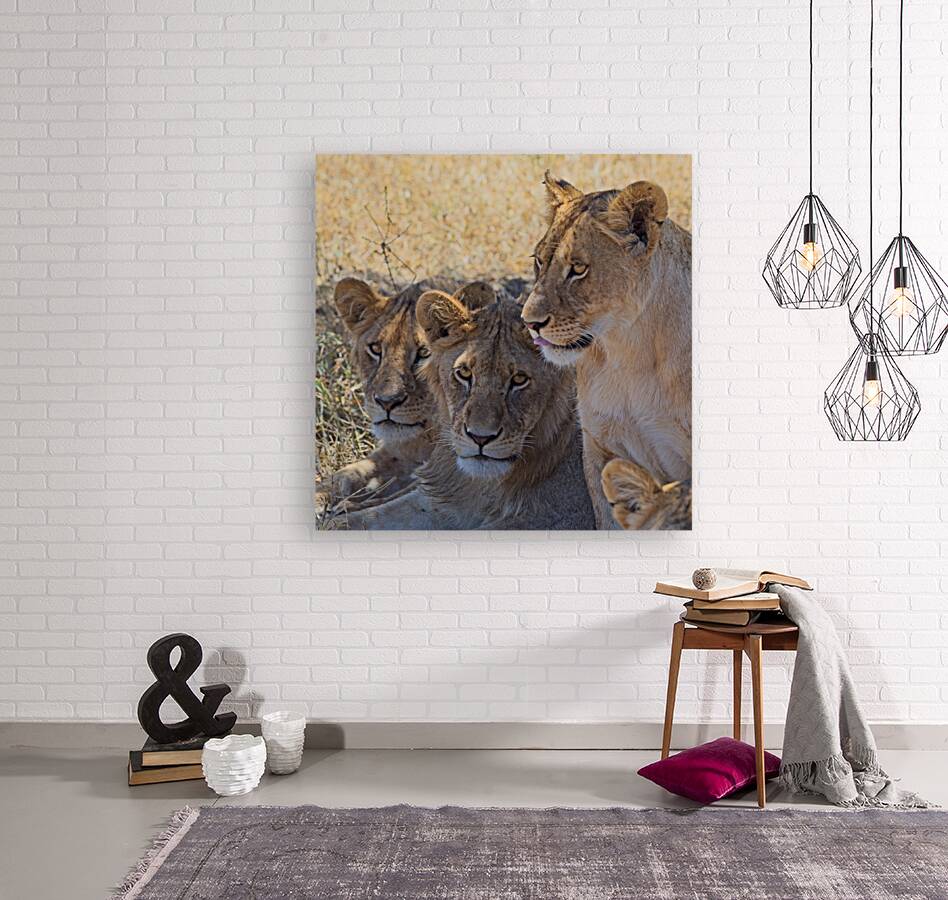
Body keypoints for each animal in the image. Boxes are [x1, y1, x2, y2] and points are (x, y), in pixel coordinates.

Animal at [331, 285, 595, 530]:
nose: (480, 438)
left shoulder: (564, 518)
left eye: (519, 379)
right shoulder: (444, 498)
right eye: (464, 373)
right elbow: (353, 521)